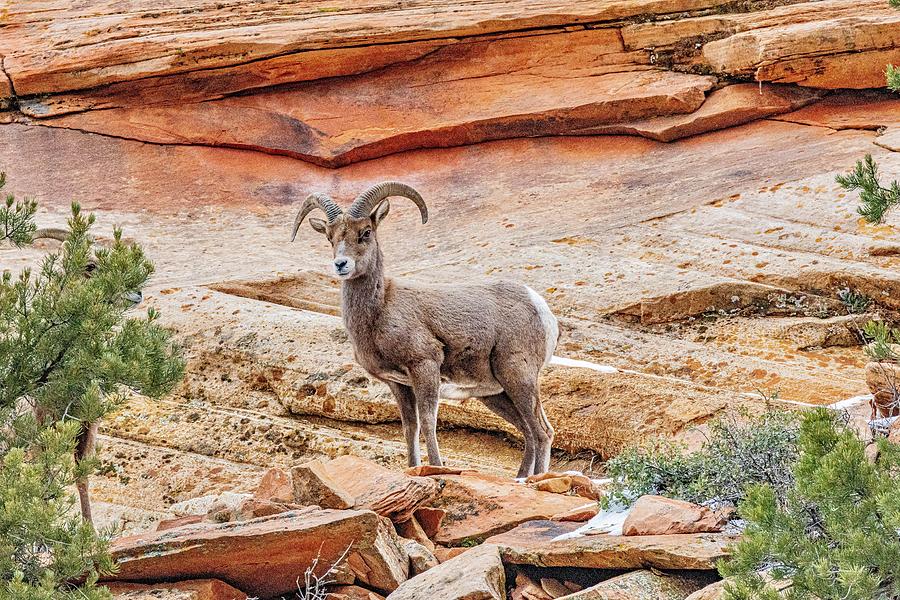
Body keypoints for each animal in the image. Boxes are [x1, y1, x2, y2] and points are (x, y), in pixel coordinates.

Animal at [292, 180, 560, 476]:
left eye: (366, 233)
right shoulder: (398, 384)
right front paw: (412, 468)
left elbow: (429, 422)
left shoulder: (425, 366)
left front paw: (437, 467)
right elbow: (411, 427)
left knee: (542, 432)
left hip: (518, 377)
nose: (341, 264)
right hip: (496, 394)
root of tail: (540, 307)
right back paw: (520, 479)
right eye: (330, 237)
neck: (380, 310)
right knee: (528, 432)